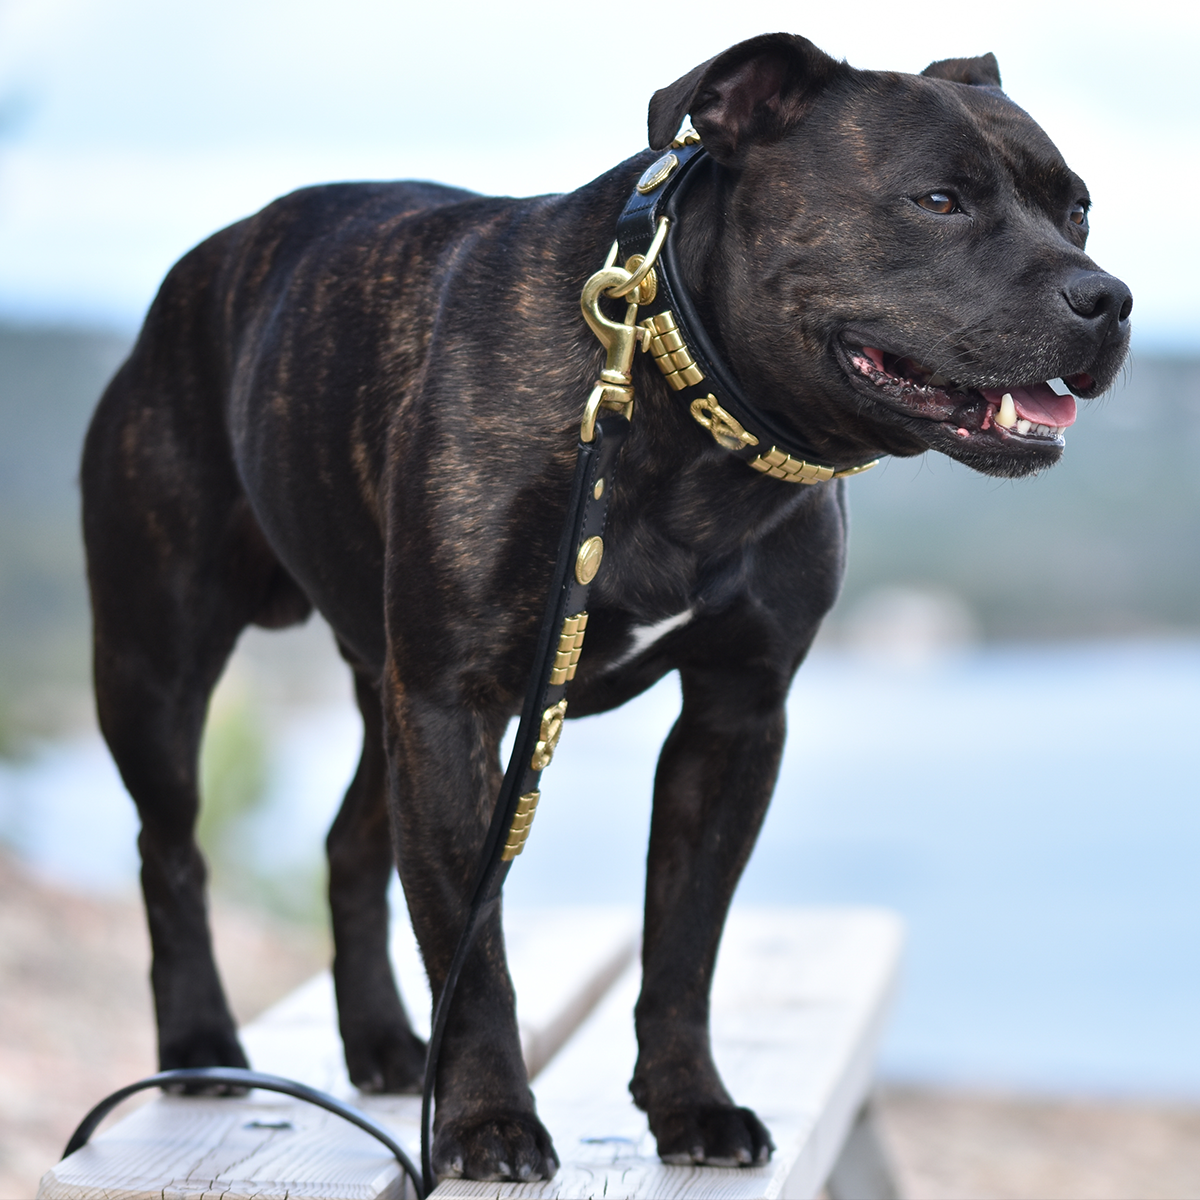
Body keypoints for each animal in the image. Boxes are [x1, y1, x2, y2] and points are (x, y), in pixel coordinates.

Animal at [87, 32, 1132, 1185]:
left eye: (1079, 211)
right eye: (938, 200)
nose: (1108, 297)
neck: (684, 401)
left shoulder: (730, 718)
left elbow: (683, 944)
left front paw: (690, 1105)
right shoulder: (452, 707)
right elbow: (476, 946)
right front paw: (489, 1122)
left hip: (381, 693)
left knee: (351, 847)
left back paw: (384, 1044)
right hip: (157, 662)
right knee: (170, 852)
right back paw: (200, 1045)